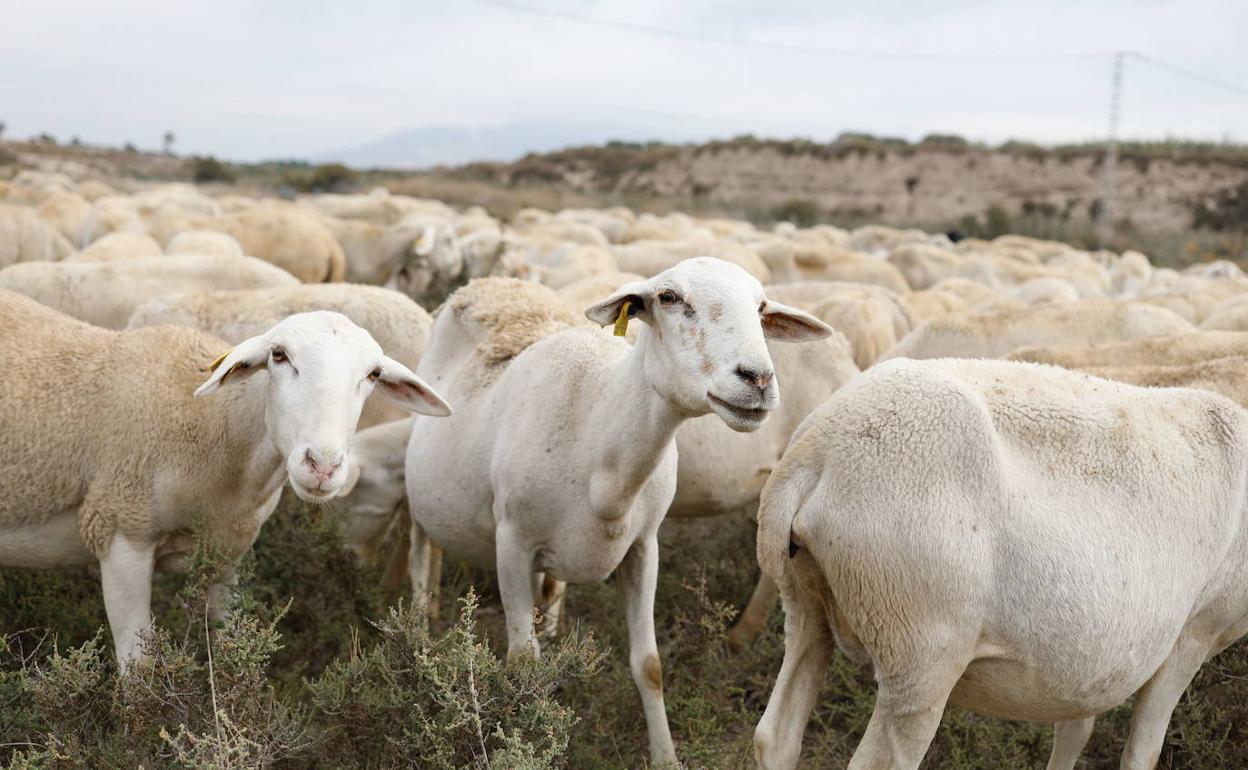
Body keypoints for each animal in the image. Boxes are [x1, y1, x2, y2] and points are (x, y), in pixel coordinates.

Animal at [403, 260, 832, 766]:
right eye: (668, 297)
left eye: (762, 307)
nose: (759, 379)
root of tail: (489, 282)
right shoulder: (511, 543)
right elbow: (523, 661)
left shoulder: (643, 547)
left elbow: (649, 665)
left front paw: (666, 758)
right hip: (418, 487)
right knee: (420, 551)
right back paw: (419, 628)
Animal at [753, 356, 1248, 770]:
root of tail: (818, 451)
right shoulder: (1196, 632)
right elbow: (1142, 751)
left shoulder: (1088, 663)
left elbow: (1075, 727)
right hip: (921, 649)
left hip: (805, 603)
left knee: (775, 735)